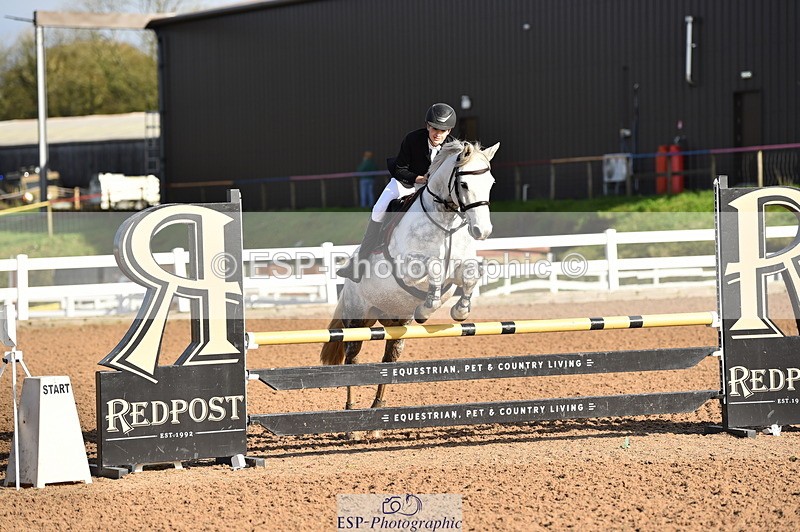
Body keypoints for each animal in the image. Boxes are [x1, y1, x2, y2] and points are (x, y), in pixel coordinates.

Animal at [320, 140, 499, 431]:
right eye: (463, 184)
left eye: (491, 182)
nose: (482, 231)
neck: (446, 223)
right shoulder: (409, 267)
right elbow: (434, 269)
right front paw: (427, 308)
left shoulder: (461, 267)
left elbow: (470, 275)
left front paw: (460, 310)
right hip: (357, 318)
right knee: (352, 357)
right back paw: (352, 418)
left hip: (396, 323)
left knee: (389, 359)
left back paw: (377, 412)